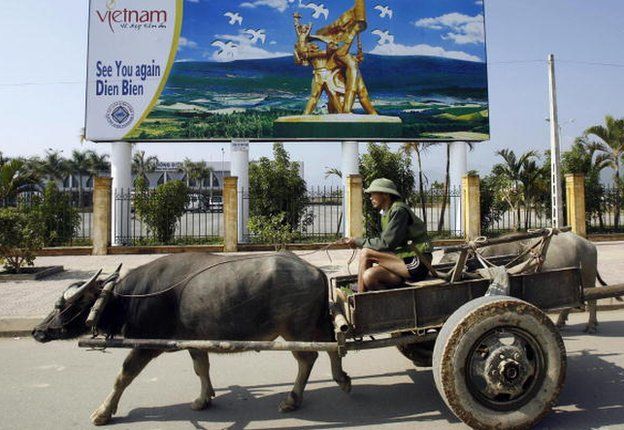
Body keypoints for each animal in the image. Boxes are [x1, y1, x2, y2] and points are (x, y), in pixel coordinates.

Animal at [31, 254, 352, 424]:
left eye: (67, 305)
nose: (38, 331)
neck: (127, 296)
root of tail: (315, 270)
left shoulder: (146, 344)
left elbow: (123, 376)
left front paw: (103, 412)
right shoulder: (195, 341)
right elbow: (201, 367)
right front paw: (203, 398)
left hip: (295, 330)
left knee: (308, 357)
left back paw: (293, 399)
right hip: (314, 324)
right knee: (333, 344)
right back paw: (342, 379)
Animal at [438, 232, 608, 332]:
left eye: (451, 259)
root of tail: (589, 245)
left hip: (587, 275)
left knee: (591, 300)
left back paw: (591, 325)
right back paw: (561, 322)